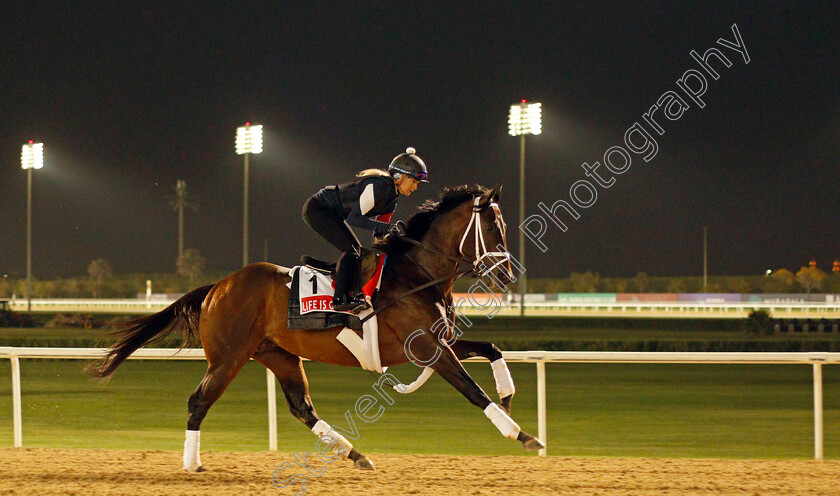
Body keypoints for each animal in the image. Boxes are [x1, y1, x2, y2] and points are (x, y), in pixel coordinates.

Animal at [87, 184, 544, 470]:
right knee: (198, 401)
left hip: (279, 355)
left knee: (301, 407)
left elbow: (491, 351)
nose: (507, 274)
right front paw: (521, 434)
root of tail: (217, 286)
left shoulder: (438, 341)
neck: (416, 272)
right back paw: (192, 463)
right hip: (228, 357)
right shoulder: (428, 348)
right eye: (493, 228)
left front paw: (508, 396)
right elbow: (472, 389)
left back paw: (354, 454)